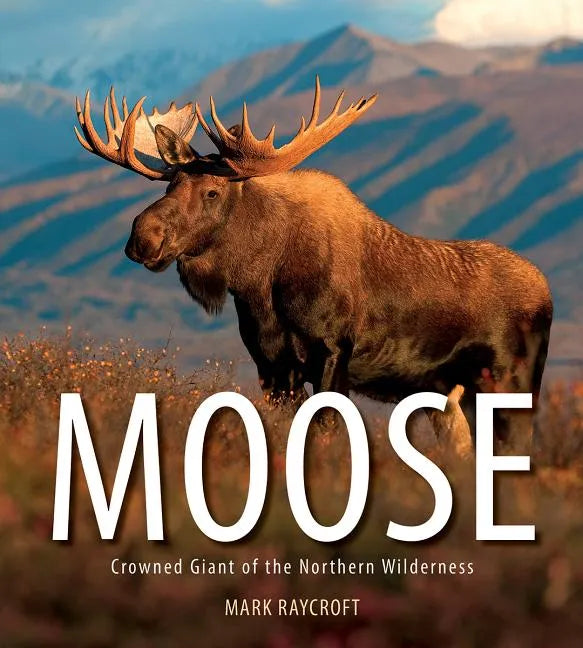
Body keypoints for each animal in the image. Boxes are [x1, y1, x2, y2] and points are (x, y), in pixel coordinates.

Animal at [74, 79, 553, 453]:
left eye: (212, 191)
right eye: (170, 183)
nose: (142, 239)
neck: (259, 284)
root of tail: (547, 295)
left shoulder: (332, 352)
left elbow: (324, 433)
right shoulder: (271, 366)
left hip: (513, 384)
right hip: (451, 395)